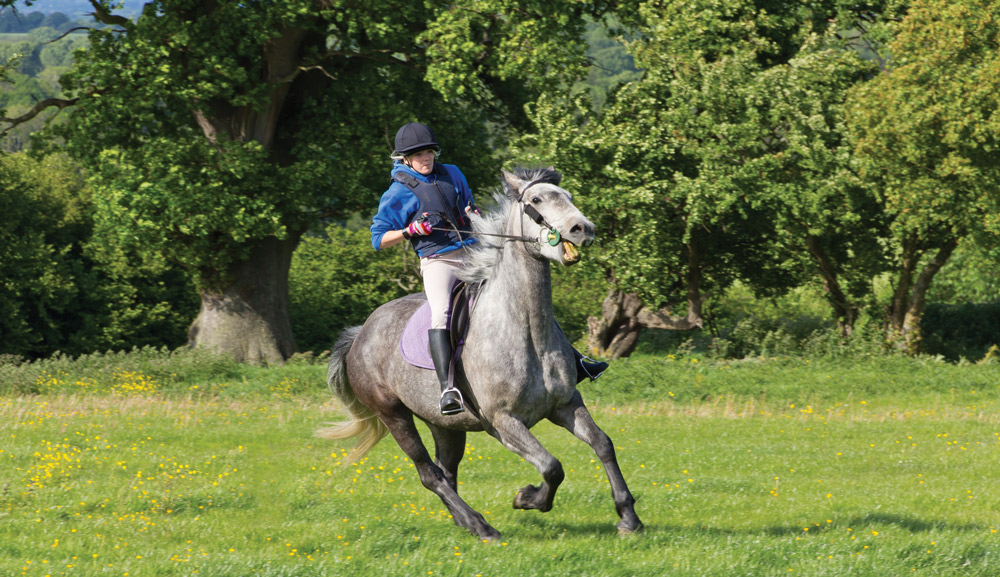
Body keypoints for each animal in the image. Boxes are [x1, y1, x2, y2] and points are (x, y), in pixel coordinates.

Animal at [322, 166, 648, 540]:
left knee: (446, 470)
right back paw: (482, 526)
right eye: (536, 200)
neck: (527, 332)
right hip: (394, 415)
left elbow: (603, 443)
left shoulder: (565, 404)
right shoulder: (503, 422)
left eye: (567, 195)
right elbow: (552, 466)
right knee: (429, 473)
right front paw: (527, 498)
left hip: (444, 423)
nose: (583, 229)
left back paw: (466, 523)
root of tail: (361, 333)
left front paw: (628, 517)